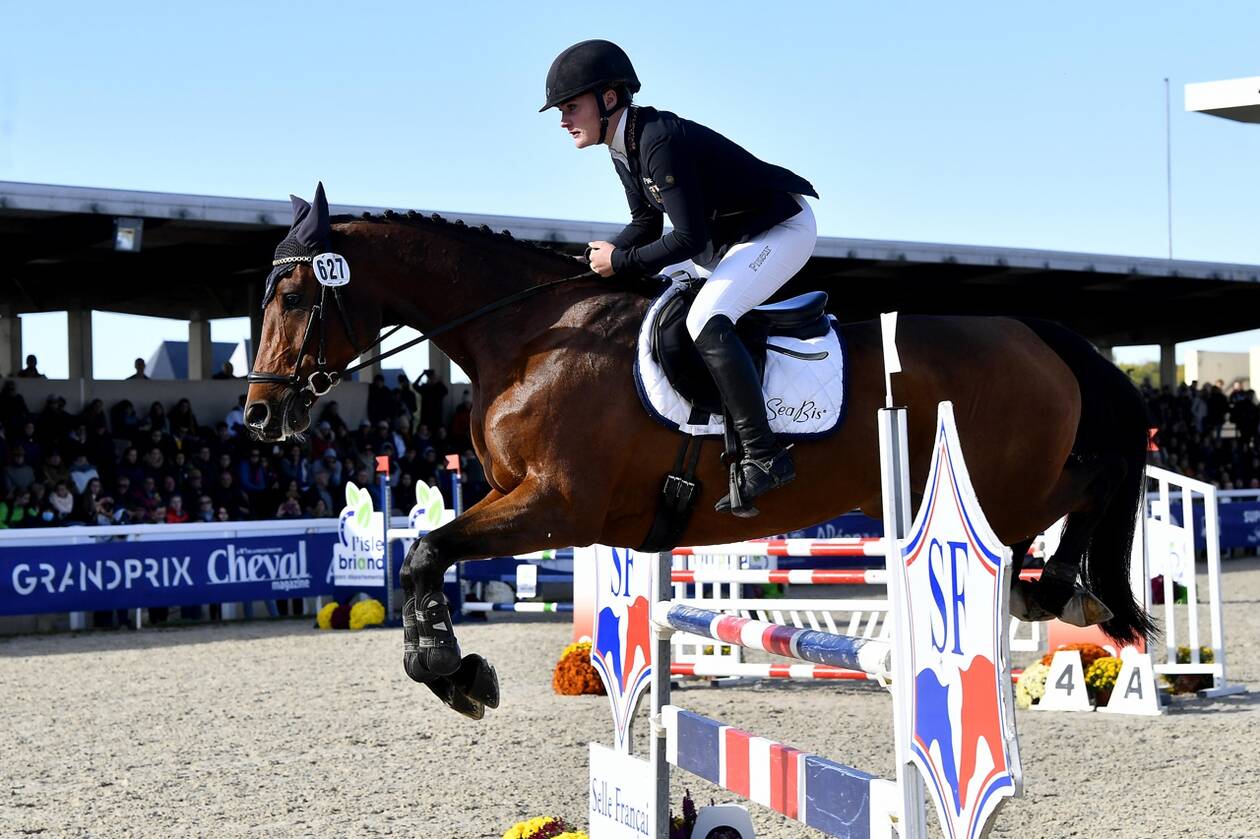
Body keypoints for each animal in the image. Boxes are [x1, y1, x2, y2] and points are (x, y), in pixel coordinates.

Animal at [243, 186, 1154, 715]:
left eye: (294, 291)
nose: (258, 414)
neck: (533, 333)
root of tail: (1035, 328)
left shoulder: (556, 504)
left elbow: (425, 552)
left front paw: (446, 667)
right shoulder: (523, 500)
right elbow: (425, 555)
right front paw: (452, 669)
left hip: (998, 480)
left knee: (1091, 487)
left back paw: (1066, 590)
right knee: (1068, 503)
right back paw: (1060, 592)